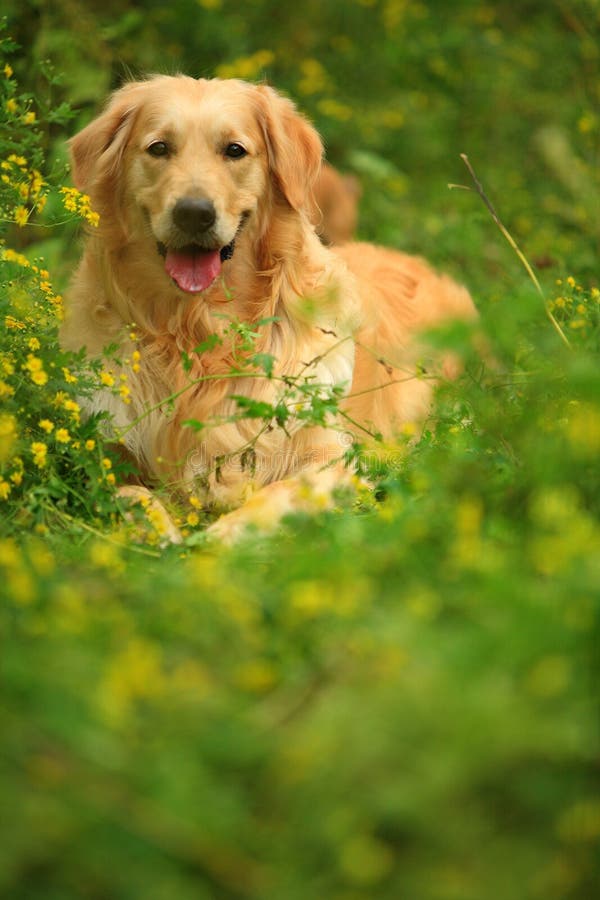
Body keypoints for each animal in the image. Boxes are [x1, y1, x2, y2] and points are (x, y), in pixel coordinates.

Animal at [62, 74, 478, 536]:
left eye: (234, 150)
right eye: (158, 148)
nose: (194, 214)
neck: (202, 326)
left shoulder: (331, 460)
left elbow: (267, 499)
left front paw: (213, 542)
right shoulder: (105, 452)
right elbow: (131, 495)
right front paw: (162, 533)